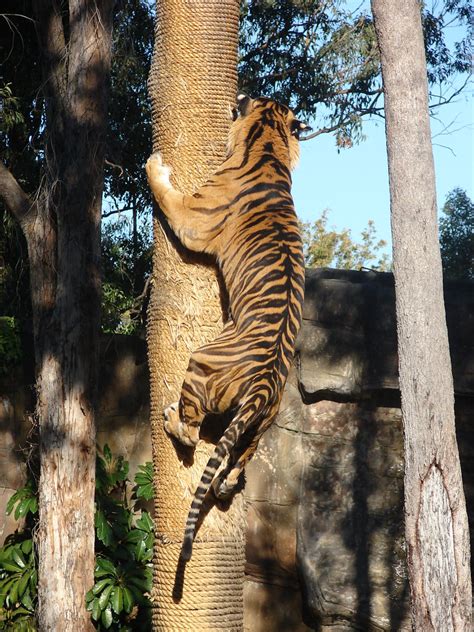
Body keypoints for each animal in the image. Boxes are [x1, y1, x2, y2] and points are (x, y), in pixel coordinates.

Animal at [145, 92, 308, 556]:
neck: (269, 146)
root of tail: (265, 387)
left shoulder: (192, 219)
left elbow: (165, 194)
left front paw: (153, 165)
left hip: (200, 361)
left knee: (191, 432)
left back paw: (170, 419)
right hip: (260, 426)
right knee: (232, 465)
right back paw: (226, 485)